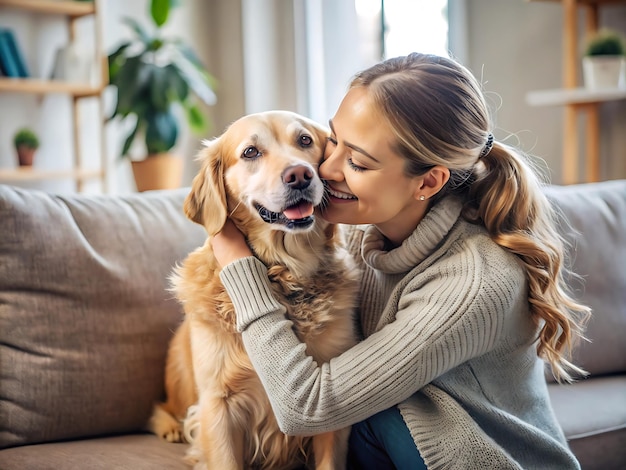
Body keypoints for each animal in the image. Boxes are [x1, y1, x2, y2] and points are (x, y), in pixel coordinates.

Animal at [148, 111, 358, 470]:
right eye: (250, 152)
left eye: (305, 140)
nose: (299, 175)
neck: (284, 274)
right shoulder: (218, 406)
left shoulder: (330, 410)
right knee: (162, 411)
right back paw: (171, 429)